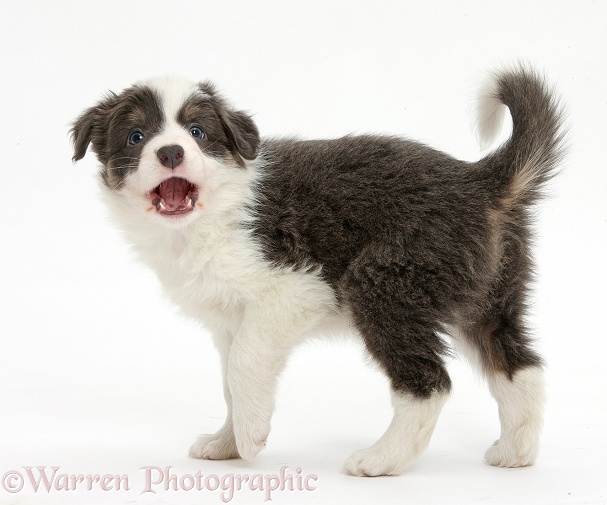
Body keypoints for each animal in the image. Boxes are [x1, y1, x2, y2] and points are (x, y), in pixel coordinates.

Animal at [70, 65, 564, 474]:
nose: (172, 152)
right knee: (520, 366)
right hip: (488, 296)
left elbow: (244, 363)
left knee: (429, 383)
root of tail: (478, 181)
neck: (213, 212)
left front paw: (250, 439)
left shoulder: (294, 287)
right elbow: (230, 381)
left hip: (384, 284)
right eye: (136, 137)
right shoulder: (230, 320)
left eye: (198, 132)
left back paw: (381, 460)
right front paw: (227, 442)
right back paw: (515, 454)